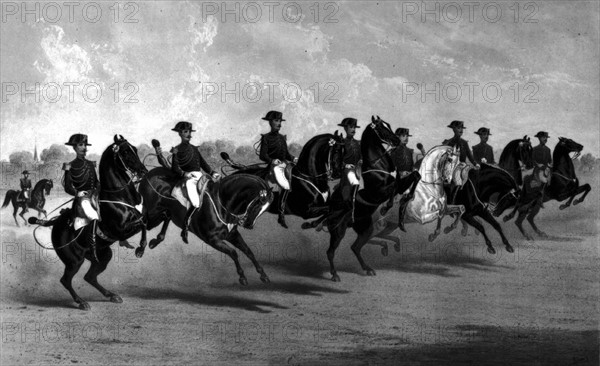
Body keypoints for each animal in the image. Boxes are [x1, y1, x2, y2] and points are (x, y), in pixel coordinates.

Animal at [28, 136, 148, 310]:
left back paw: (111, 295)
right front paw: (139, 249)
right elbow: (141, 224)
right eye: (125, 152)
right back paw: (81, 302)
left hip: (102, 255)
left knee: (90, 277)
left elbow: (144, 221)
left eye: (135, 149)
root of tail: (56, 222)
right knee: (66, 280)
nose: (143, 171)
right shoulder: (121, 229)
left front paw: (140, 247)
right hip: (74, 261)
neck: (119, 196)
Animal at [139, 162, 274, 286]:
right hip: (152, 211)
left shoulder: (232, 235)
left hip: (163, 212)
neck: (221, 205)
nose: (248, 224)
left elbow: (248, 251)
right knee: (144, 222)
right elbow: (233, 253)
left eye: (265, 209)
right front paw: (242, 277)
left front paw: (263, 275)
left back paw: (157, 240)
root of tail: (150, 173)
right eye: (257, 205)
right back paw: (141, 248)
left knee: (165, 218)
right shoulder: (213, 240)